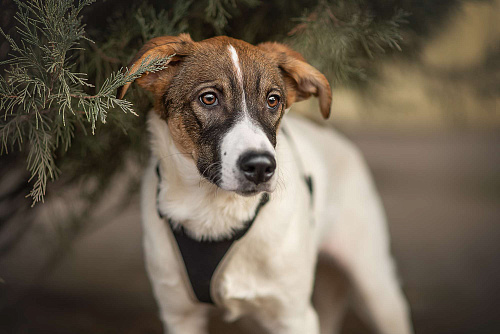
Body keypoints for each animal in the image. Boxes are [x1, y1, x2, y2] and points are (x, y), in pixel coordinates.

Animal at [118, 34, 414, 334]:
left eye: (273, 100)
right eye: (209, 98)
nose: (261, 167)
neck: (216, 211)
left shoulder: (294, 316)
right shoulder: (180, 314)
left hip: (376, 287)